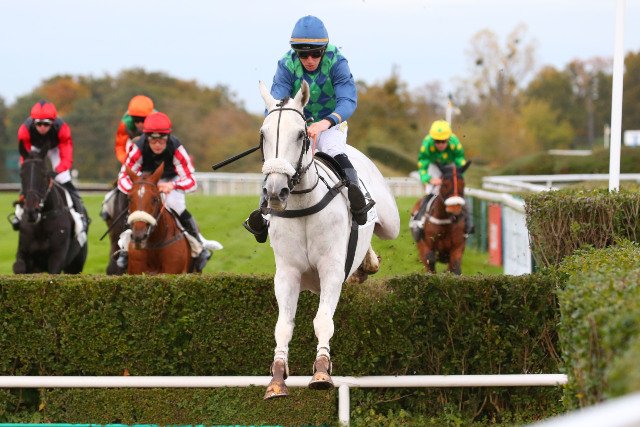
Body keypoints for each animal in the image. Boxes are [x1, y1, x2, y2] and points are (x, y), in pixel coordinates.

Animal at [257, 80, 400, 399]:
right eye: (263, 134)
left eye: (300, 134)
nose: (275, 191)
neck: (303, 204)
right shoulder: (287, 272)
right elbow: (283, 326)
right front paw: (277, 379)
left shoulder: (331, 269)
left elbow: (323, 320)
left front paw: (322, 371)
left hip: (392, 224)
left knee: (380, 229)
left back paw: (368, 260)